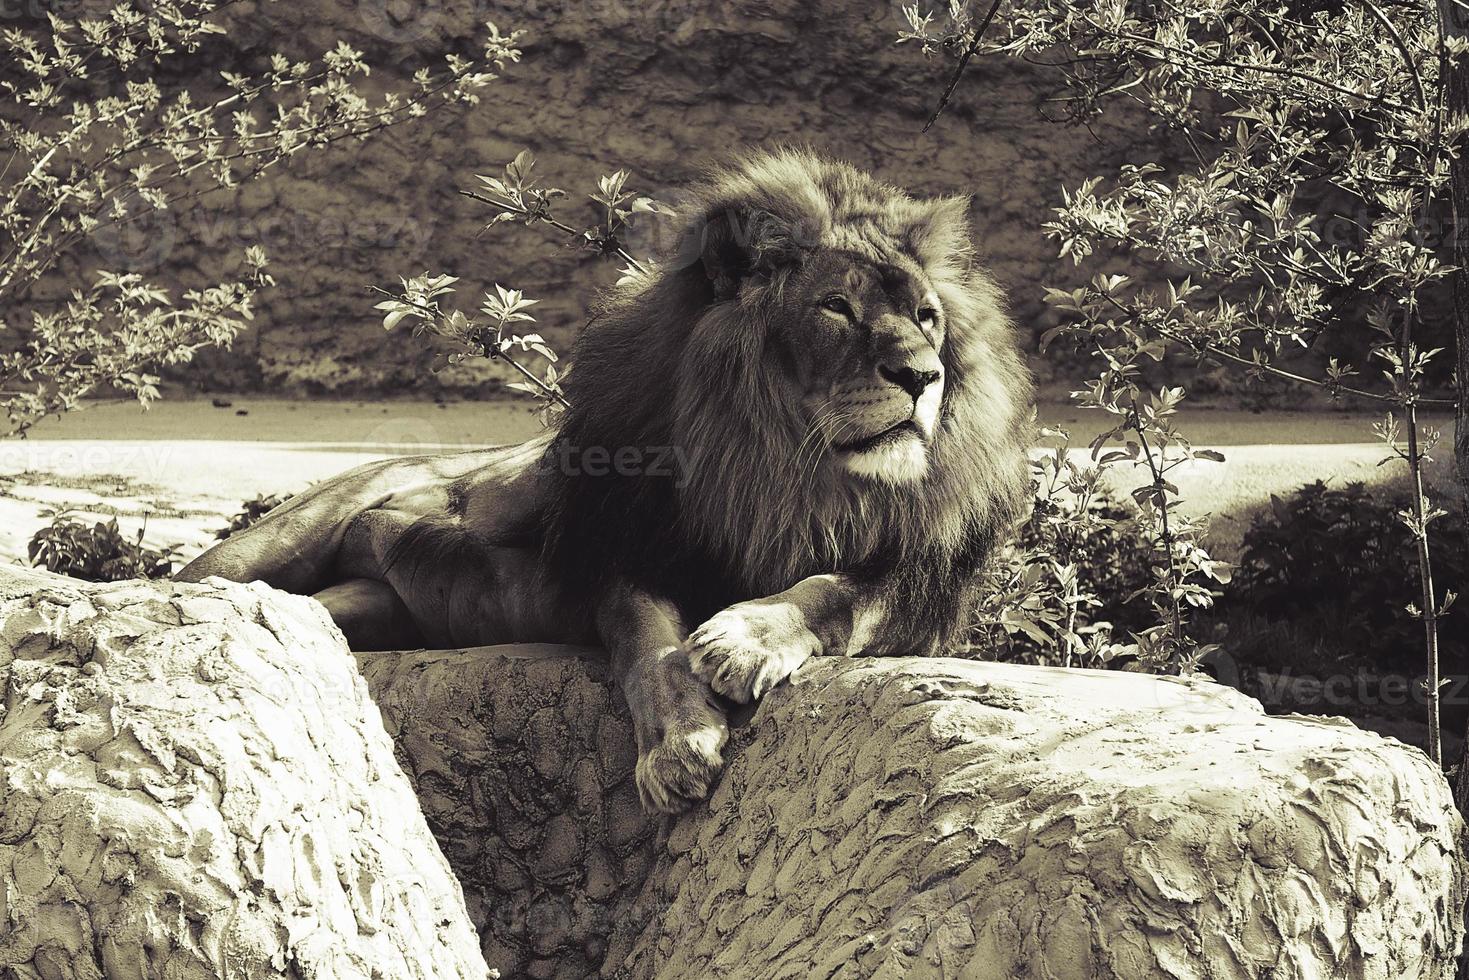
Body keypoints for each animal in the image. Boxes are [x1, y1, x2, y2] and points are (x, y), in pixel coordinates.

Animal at [177, 149, 1034, 816]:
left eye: (926, 317)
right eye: (834, 307)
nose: (922, 376)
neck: (780, 467)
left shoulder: (920, 585)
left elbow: (832, 594)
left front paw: (745, 640)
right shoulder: (630, 556)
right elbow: (650, 650)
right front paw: (677, 745)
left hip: (370, 607)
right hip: (269, 547)